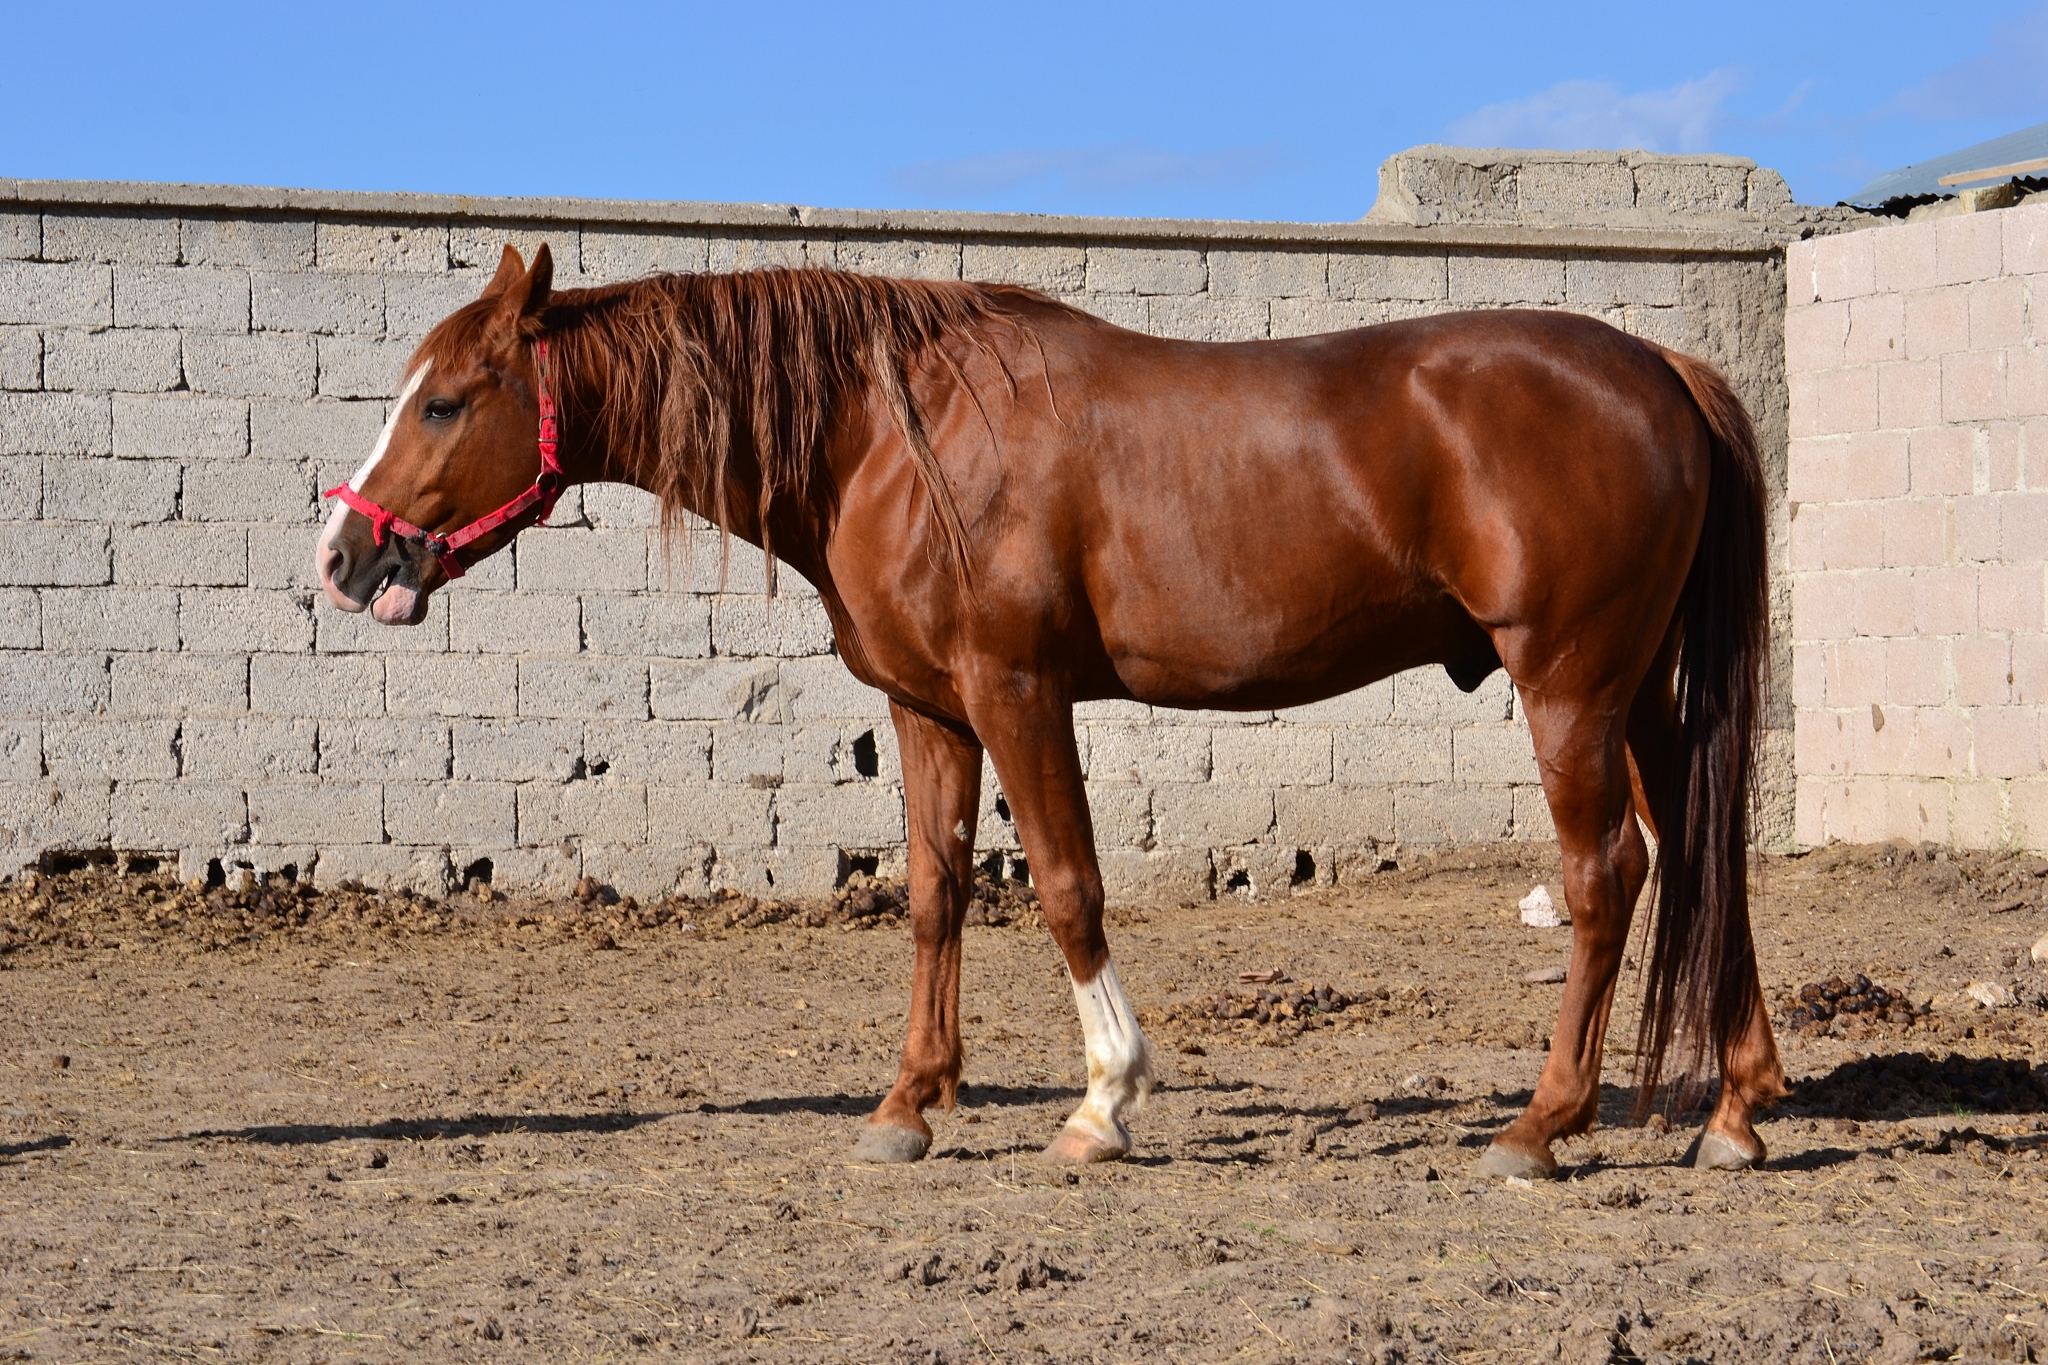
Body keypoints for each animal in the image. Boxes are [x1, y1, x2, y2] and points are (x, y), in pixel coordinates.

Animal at [316, 243, 1784, 1177]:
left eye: (444, 401)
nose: (347, 558)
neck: (886, 436)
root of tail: (1660, 368)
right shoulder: (930, 712)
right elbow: (934, 895)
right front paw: (908, 1104)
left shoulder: (1018, 692)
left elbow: (1068, 889)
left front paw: (1103, 1100)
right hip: (1638, 695)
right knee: (1706, 858)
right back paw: (1737, 1110)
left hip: (1569, 686)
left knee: (1608, 876)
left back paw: (1542, 1126)